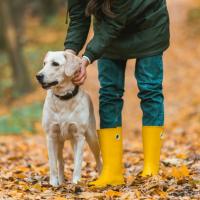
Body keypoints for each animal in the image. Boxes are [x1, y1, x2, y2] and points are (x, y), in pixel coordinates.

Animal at [35, 51, 101, 186]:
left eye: (55, 64)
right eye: (44, 63)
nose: (38, 76)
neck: (63, 99)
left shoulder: (79, 136)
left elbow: (78, 162)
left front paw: (76, 182)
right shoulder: (51, 136)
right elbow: (53, 164)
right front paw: (53, 183)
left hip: (91, 137)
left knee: (97, 158)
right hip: (60, 141)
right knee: (60, 162)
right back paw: (61, 181)